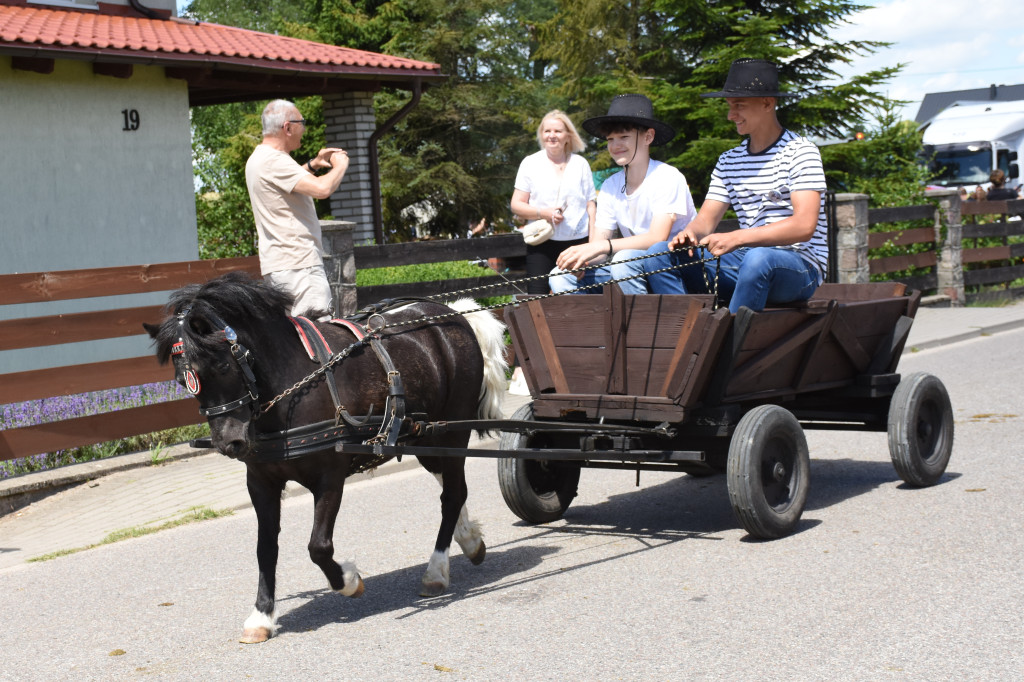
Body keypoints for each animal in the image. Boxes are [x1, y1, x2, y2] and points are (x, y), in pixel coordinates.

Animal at [145, 270, 507, 638]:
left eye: (220, 365)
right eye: (183, 380)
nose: (229, 443)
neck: (293, 385)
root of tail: (453, 314)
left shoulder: (330, 477)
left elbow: (318, 547)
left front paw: (348, 580)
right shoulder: (260, 481)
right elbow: (265, 547)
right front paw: (262, 614)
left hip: (454, 430)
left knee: (452, 494)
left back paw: (436, 570)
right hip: (425, 436)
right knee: (452, 487)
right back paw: (469, 540)